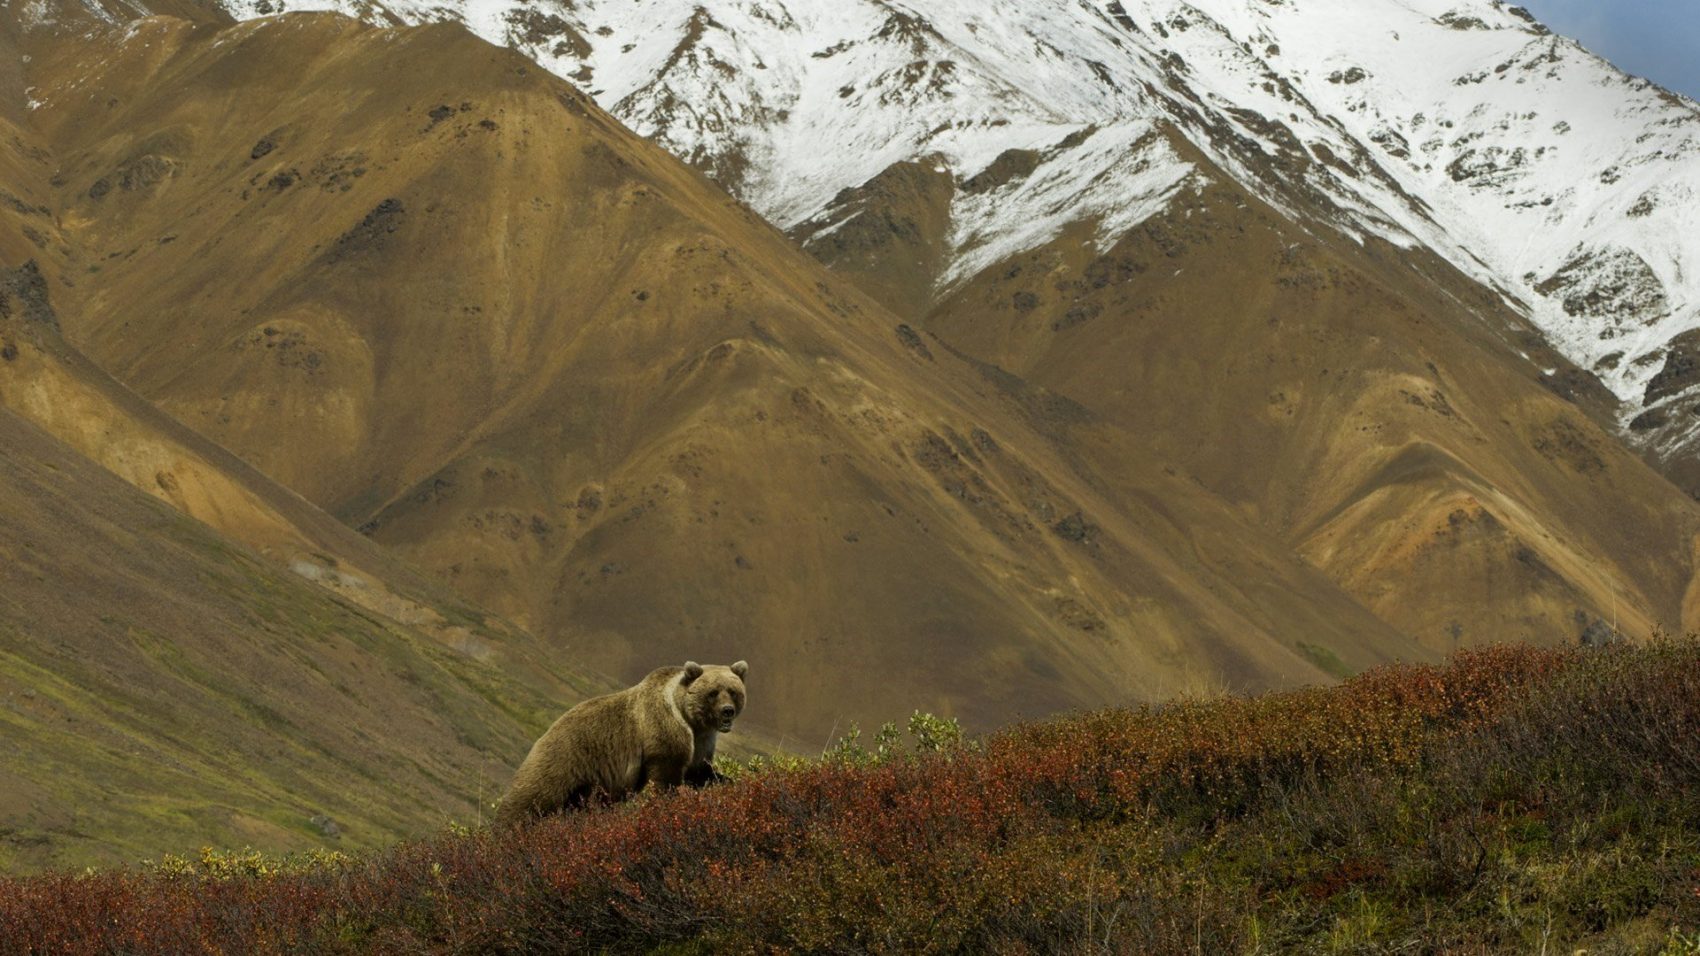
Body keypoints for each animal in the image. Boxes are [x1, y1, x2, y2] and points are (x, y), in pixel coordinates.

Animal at [496, 660, 751, 823]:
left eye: (733, 691)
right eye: (713, 692)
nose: (727, 711)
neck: (690, 721)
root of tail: (544, 733)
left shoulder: (701, 742)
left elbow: (700, 772)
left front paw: (728, 780)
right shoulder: (662, 734)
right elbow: (665, 777)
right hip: (564, 759)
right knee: (531, 797)